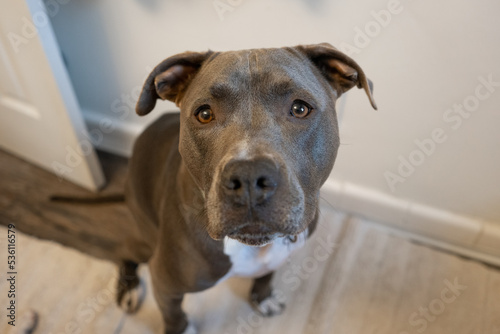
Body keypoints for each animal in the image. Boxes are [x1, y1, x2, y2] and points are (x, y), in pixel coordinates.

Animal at [120, 43, 376, 332]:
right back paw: (129, 290)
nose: (249, 177)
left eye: (300, 108)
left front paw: (263, 298)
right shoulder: (165, 284)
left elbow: (266, 275)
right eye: (204, 114)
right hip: (142, 236)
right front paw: (182, 329)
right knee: (125, 253)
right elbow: (174, 316)